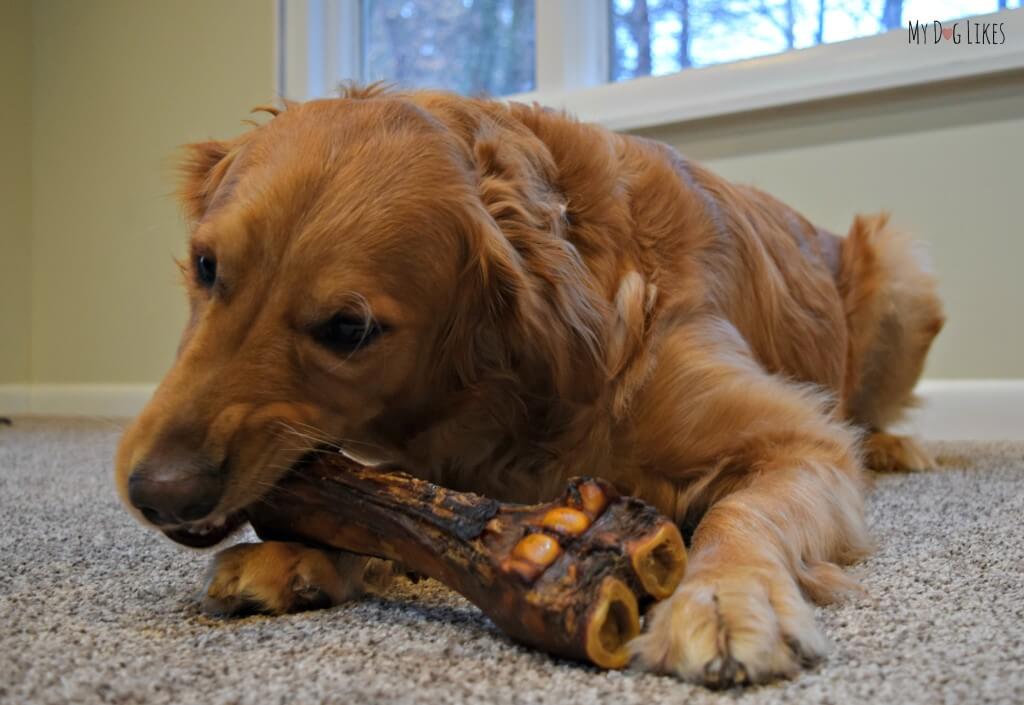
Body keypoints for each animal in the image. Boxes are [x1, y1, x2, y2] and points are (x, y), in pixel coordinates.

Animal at [114, 85, 942, 684]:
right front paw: (296, 556)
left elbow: (743, 511)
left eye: (348, 329)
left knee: (871, 415)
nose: (158, 492)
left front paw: (726, 599)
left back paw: (897, 446)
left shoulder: (801, 440)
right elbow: (381, 510)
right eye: (206, 265)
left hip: (904, 276)